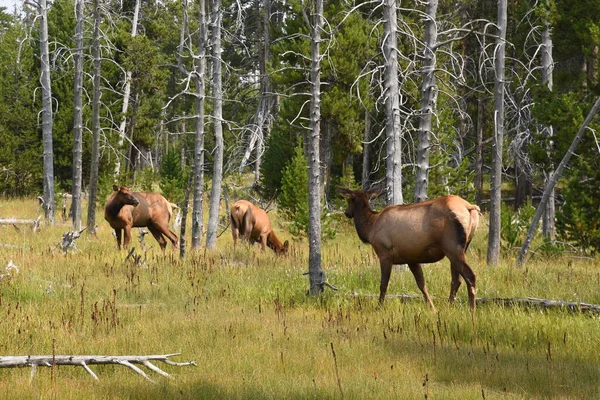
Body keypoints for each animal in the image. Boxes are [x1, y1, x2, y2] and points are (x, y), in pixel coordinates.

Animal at [338, 186, 482, 310]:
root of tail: (469, 207)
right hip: (461, 247)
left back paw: (472, 310)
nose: (346, 213)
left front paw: (378, 307)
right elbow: (422, 284)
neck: (370, 228)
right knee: (456, 279)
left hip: (452, 247)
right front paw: (433, 308)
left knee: (470, 276)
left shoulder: (385, 253)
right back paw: (449, 305)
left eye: (349, 200)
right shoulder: (411, 259)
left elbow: (383, 284)